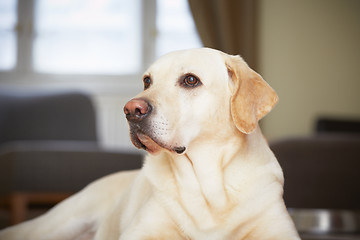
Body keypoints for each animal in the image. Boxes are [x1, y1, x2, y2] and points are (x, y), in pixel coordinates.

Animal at [0, 47, 300, 239]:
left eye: (190, 80)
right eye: (147, 81)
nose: (131, 110)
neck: (208, 185)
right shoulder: (141, 232)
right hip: (58, 222)